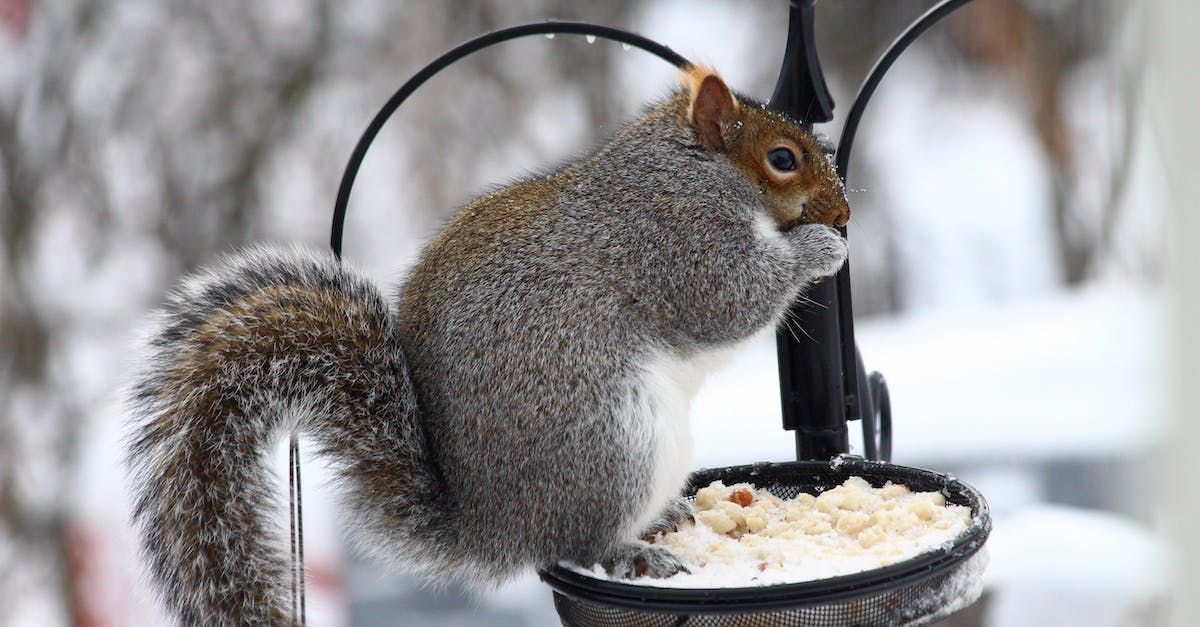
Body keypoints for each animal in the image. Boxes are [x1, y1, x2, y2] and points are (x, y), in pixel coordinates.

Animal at [125, 65, 850, 625]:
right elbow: (728, 300)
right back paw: (631, 550)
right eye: (782, 158)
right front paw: (818, 251)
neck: (688, 167)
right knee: (580, 541)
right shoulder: (675, 239)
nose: (843, 213)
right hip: (615, 443)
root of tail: (491, 527)